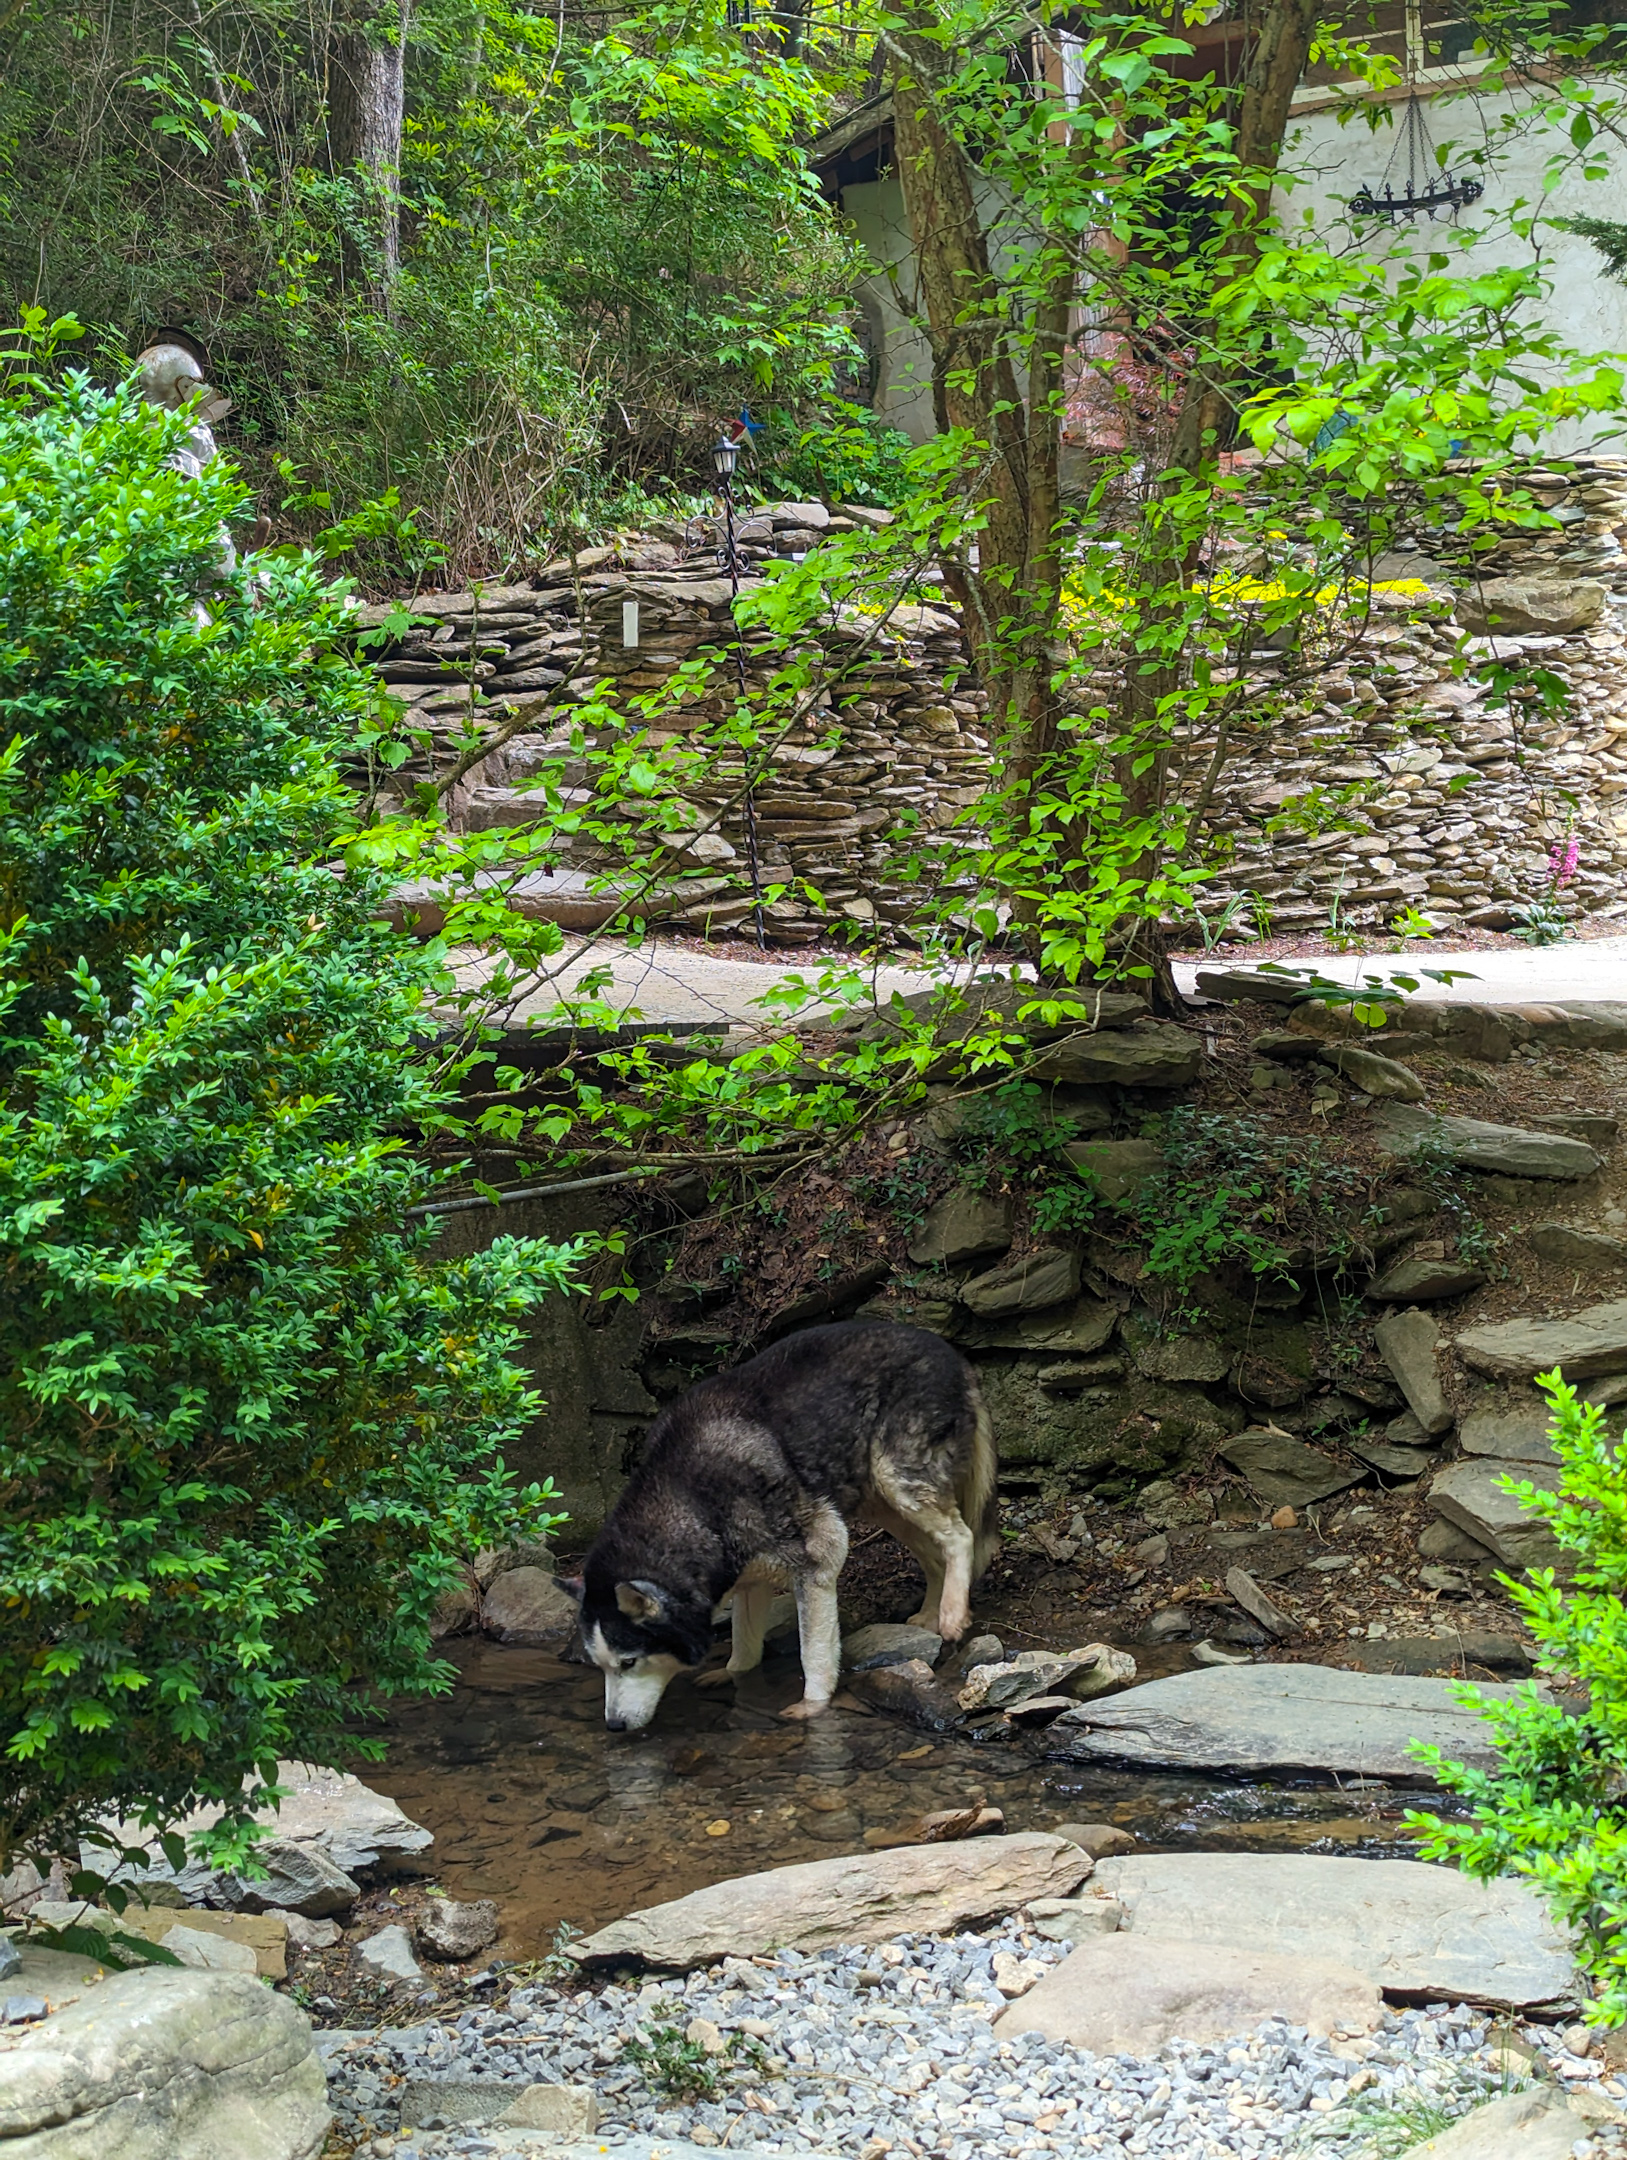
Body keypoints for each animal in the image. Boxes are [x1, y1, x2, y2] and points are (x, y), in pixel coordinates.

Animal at [568, 1321, 998, 1731]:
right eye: (600, 1666)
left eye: (628, 1662)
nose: (614, 1727)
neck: (690, 1500)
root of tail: (953, 1355)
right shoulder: (747, 1578)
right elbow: (745, 1646)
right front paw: (731, 1675)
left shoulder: (821, 1551)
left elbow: (814, 1651)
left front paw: (813, 1705)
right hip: (883, 1502)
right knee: (934, 1555)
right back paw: (930, 1615)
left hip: (899, 1480)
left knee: (961, 1538)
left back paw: (952, 1614)